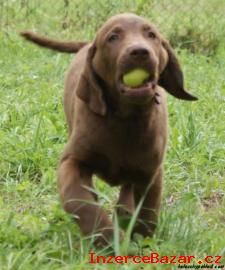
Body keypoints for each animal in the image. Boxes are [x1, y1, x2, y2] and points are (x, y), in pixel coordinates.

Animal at [21, 13, 197, 247]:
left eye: (152, 35)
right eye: (113, 37)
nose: (140, 51)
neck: (125, 118)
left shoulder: (150, 171)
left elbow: (147, 210)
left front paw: (140, 241)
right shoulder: (72, 161)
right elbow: (80, 200)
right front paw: (107, 239)